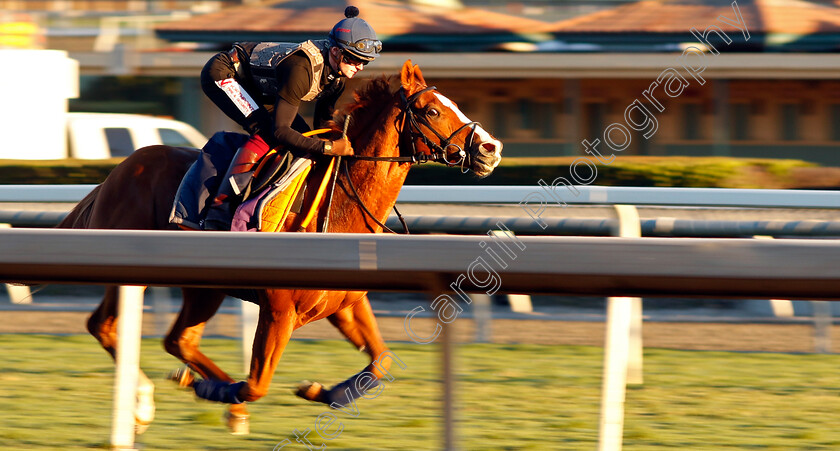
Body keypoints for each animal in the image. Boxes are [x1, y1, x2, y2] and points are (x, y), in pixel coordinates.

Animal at [60, 61, 506, 434]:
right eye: (431, 111)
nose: (492, 148)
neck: (339, 205)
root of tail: (115, 173)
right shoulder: (279, 310)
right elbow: (257, 383)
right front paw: (214, 392)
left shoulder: (344, 304)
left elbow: (382, 361)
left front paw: (321, 391)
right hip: (133, 273)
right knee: (106, 327)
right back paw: (146, 404)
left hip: (204, 288)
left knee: (177, 340)